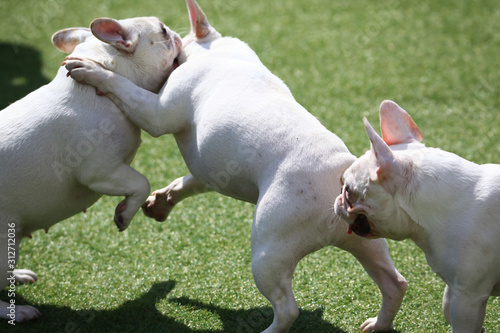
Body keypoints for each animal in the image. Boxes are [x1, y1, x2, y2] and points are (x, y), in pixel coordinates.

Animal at [0, 16, 182, 320]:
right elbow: (141, 183)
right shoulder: (101, 171)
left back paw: (19, 277)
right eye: (163, 32)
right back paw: (19, 311)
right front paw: (124, 215)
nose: (179, 35)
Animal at [64, 1, 408, 330]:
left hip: (269, 250)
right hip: (367, 238)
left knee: (287, 308)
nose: (173, 37)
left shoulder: (156, 111)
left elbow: (124, 88)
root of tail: (339, 179)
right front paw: (162, 201)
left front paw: (90, 70)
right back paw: (380, 324)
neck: (218, 49)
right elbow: (186, 183)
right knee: (394, 282)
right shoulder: (210, 170)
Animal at [336, 100, 500, 330]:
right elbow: (447, 307)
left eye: (349, 190)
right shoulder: (456, 287)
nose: (338, 200)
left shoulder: (469, 296)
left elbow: (460, 323)